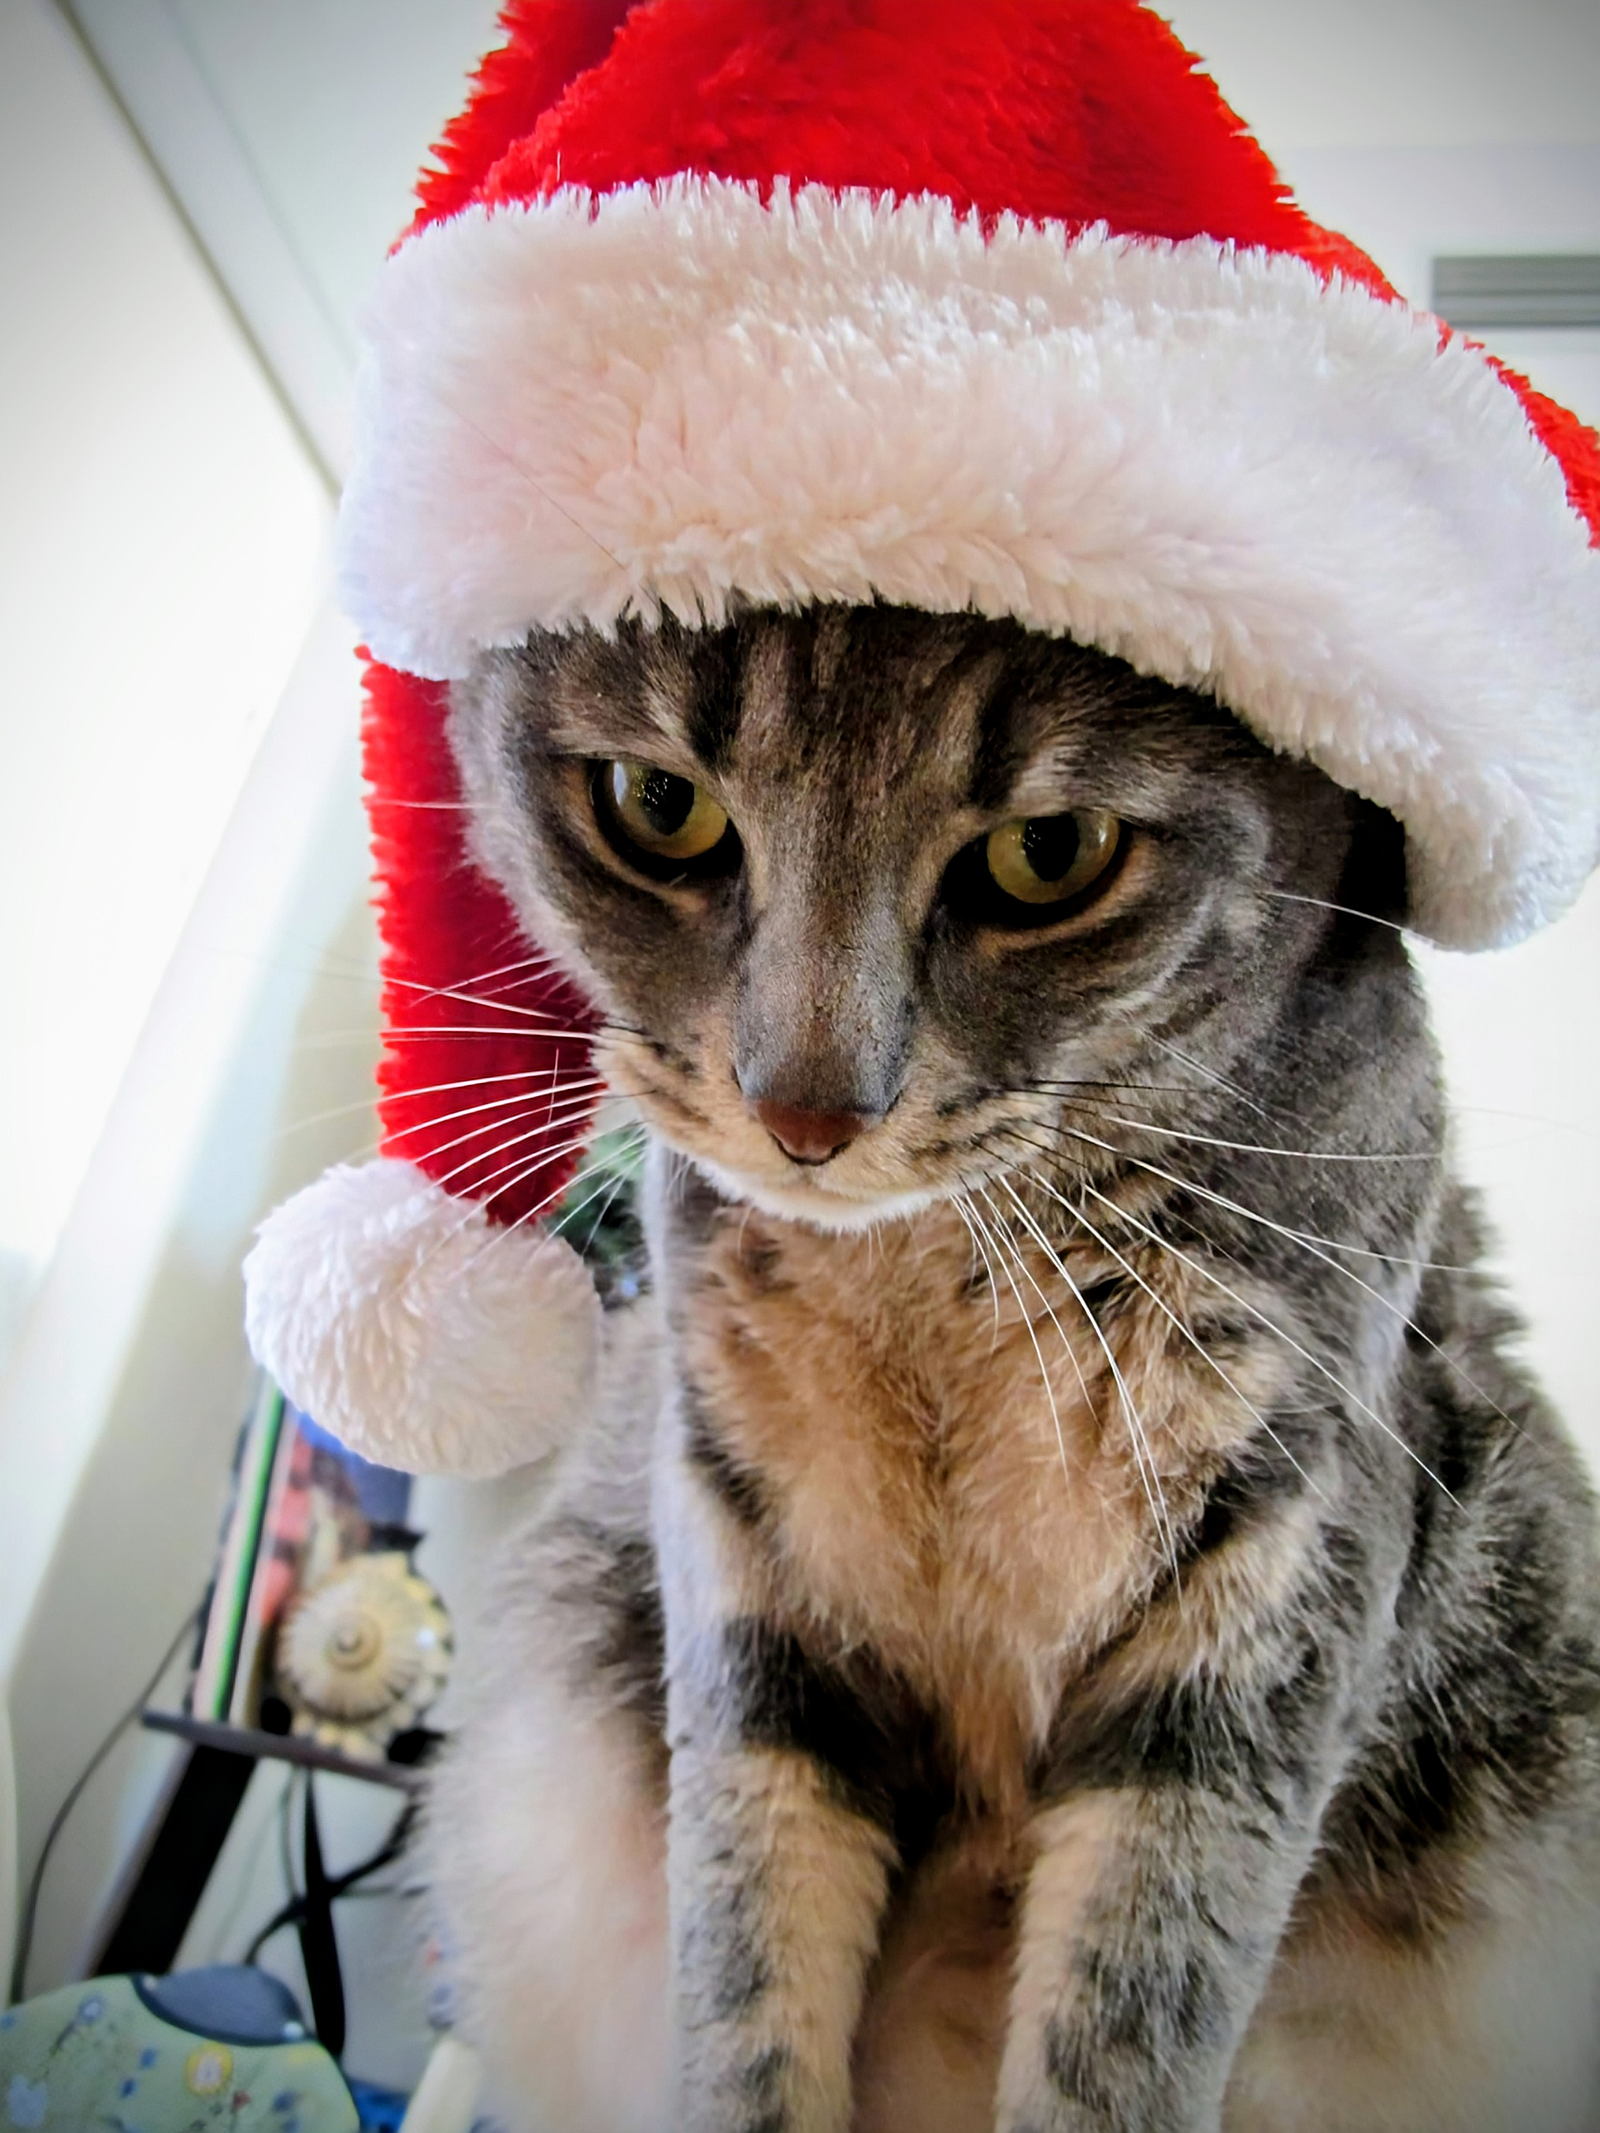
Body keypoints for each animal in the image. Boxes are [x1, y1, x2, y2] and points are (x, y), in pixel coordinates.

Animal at [426, 601, 1600, 2133]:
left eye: (1051, 853)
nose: (805, 1116)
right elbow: (745, 1967)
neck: (928, 1281)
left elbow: (1130, 2013)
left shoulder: (1278, 1579)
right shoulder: (742, 1566)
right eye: (658, 806)